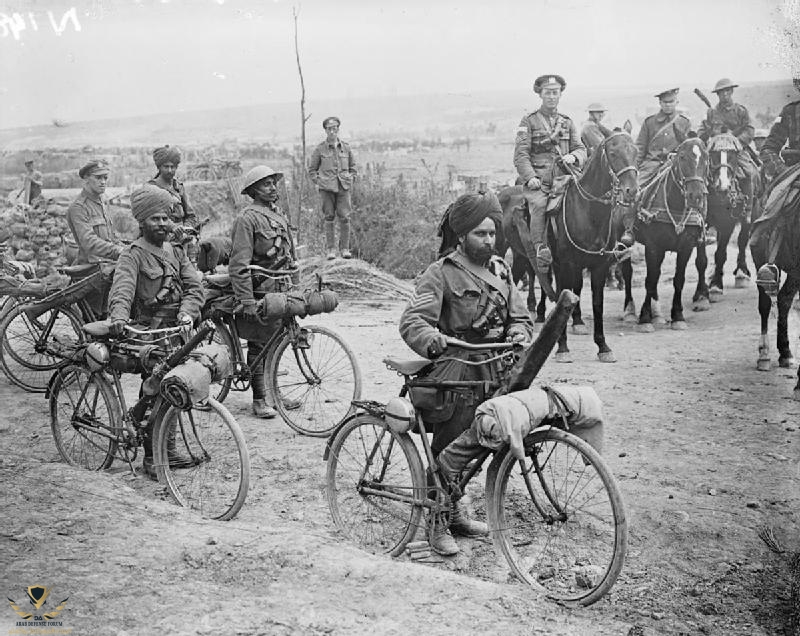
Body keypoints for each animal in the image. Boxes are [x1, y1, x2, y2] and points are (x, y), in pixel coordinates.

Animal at [500, 132, 636, 362]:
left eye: (635, 150)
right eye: (613, 152)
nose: (632, 190)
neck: (587, 211)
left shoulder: (598, 266)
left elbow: (596, 304)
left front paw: (603, 346)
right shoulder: (565, 265)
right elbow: (563, 301)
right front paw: (562, 347)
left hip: (520, 256)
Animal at [620, 136, 708, 330]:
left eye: (706, 159)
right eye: (682, 157)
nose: (696, 196)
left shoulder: (686, 247)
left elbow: (678, 280)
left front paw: (678, 316)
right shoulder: (653, 247)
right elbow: (650, 280)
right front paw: (645, 318)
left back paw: (658, 314)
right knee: (628, 272)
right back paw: (630, 311)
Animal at [696, 132, 760, 298]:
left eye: (732, 156)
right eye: (713, 155)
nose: (723, 185)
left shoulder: (727, 224)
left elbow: (720, 253)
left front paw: (716, 285)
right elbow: (702, 258)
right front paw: (702, 290)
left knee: (742, 241)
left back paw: (741, 273)